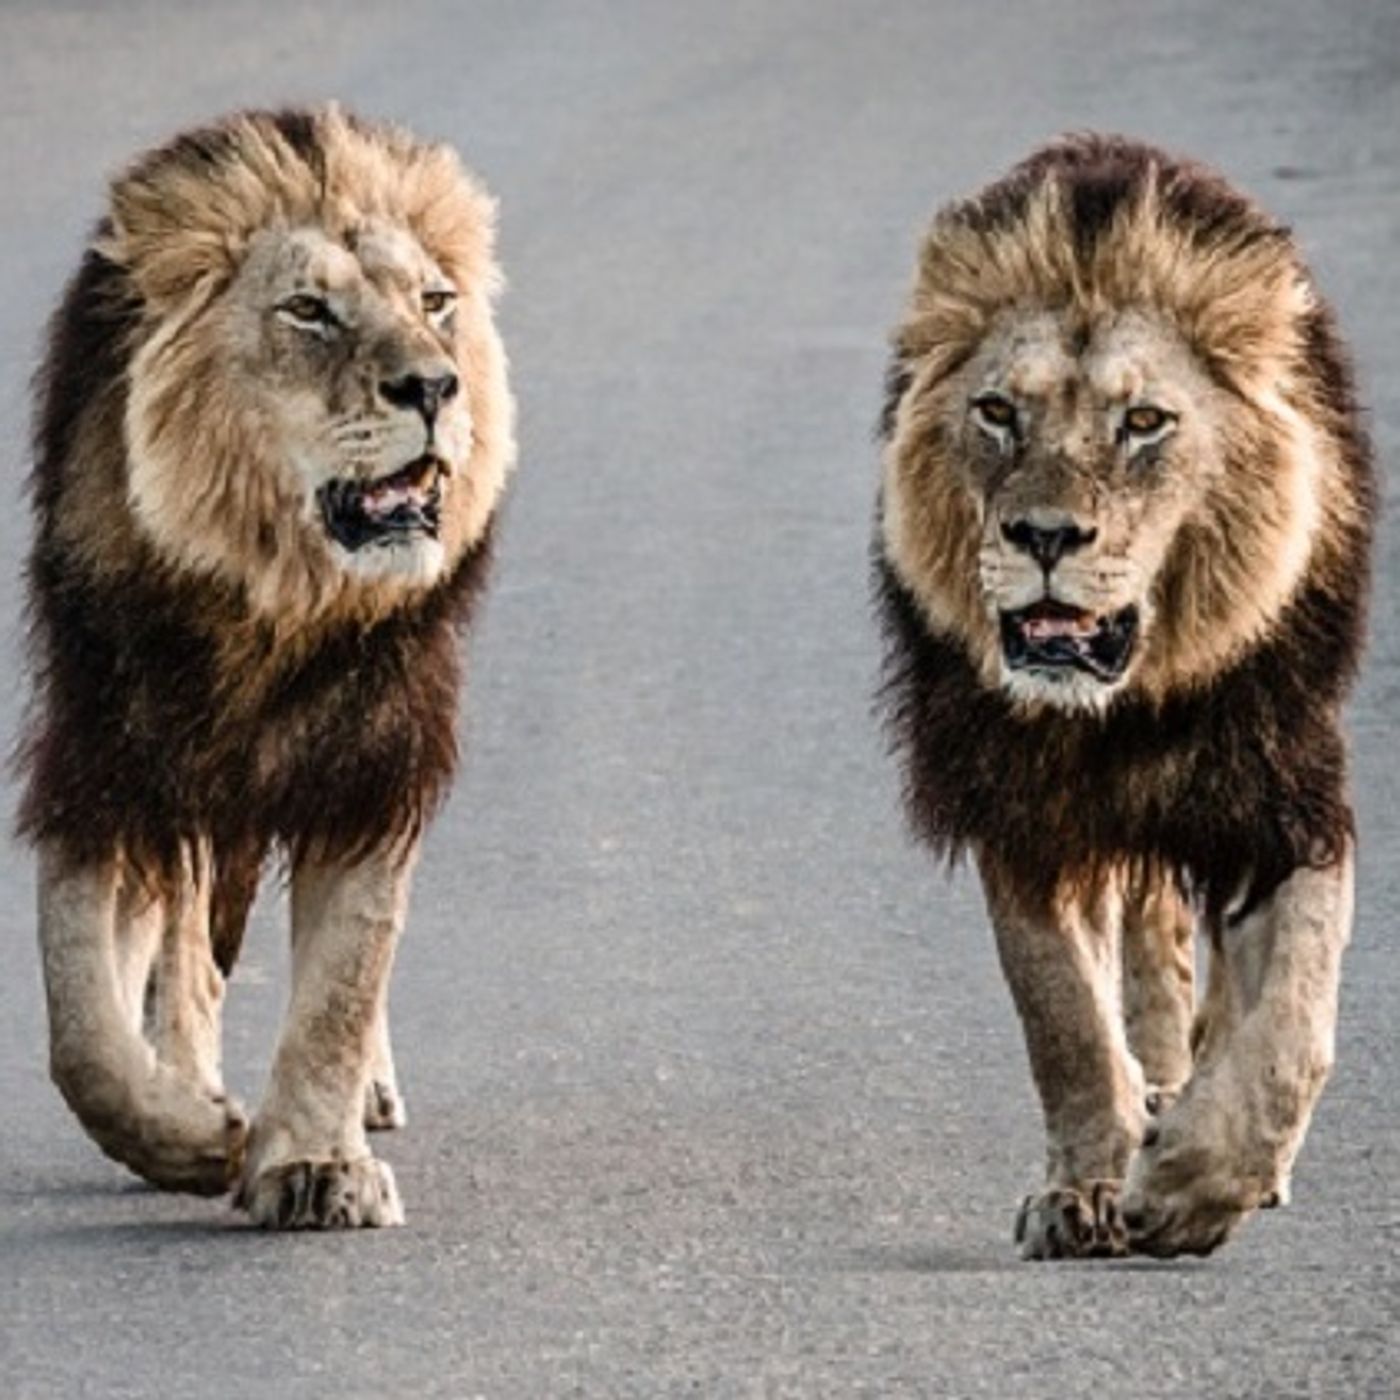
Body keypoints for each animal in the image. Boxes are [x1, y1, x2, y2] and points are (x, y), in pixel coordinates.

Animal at [18, 106, 515, 1228]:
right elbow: (81, 1024)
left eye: (435, 304)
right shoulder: (106, 759)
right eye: (307, 310)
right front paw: (189, 1136)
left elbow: (346, 975)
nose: (434, 384)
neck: (274, 599)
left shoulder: (376, 750)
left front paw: (314, 1163)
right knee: (183, 960)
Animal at [875, 134, 1373, 1258]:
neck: (1125, 703)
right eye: (996, 412)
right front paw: (1088, 1190)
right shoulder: (1015, 800)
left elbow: (1291, 1026)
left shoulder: (1285, 794)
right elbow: (1062, 1014)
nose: (1045, 537)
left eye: (1144, 422)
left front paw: (1194, 1185)